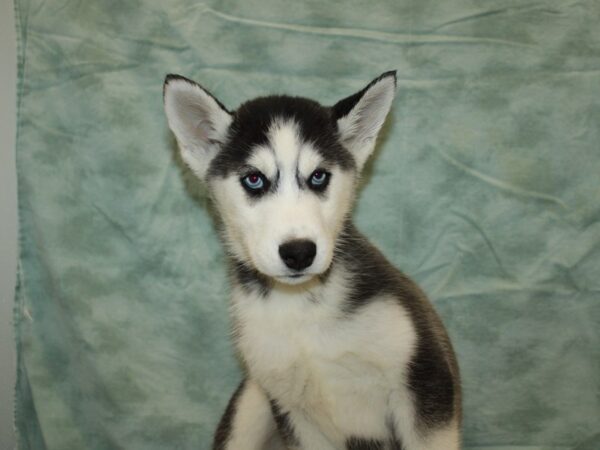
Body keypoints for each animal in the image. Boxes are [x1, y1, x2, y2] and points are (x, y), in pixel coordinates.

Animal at [162, 73, 462, 450]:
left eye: (319, 176)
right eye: (254, 179)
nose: (299, 252)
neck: (301, 307)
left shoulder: (427, 384)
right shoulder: (291, 411)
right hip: (250, 403)